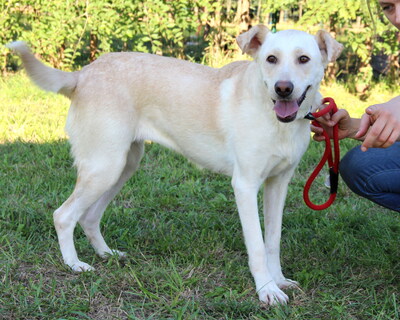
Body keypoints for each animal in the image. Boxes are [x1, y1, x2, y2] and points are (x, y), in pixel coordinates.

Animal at [7, 25, 340, 304]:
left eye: (303, 59)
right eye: (271, 58)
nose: (283, 88)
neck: (275, 118)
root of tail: (84, 73)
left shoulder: (278, 184)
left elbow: (272, 241)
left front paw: (278, 280)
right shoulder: (245, 185)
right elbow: (257, 246)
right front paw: (266, 290)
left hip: (122, 166)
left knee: (89, 216)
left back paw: (106, 253)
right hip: (104, 167)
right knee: (63, 215)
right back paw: (74, 264)